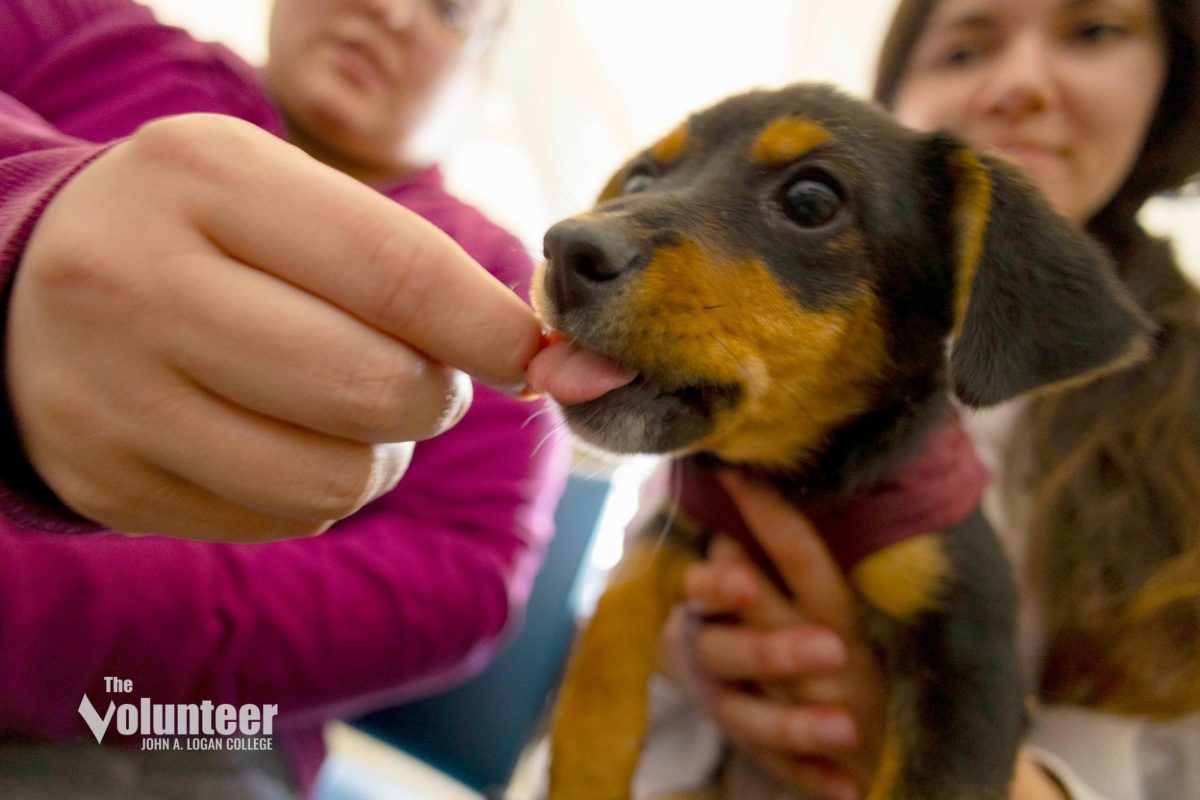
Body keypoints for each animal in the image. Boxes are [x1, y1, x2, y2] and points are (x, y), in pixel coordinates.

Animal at [530, 82, 1147, 800]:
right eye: (640, 178)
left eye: (811, 201)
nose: (566, 249)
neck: (799, 483)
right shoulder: (690, 519)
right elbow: (611, 619)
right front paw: (586, 769)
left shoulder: (969, 652)